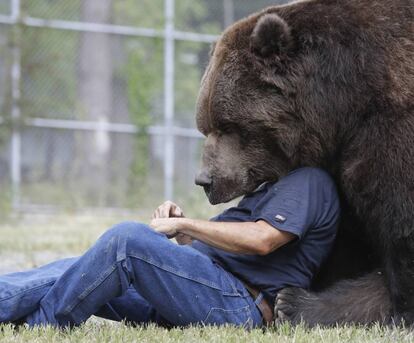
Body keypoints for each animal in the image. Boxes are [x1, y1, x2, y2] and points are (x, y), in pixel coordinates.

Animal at [195, 0, 414, 328]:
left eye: (228, 126)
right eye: (204, 126)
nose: (205, 180)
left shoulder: (389, 130)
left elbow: (400, 225)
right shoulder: (334, 164)